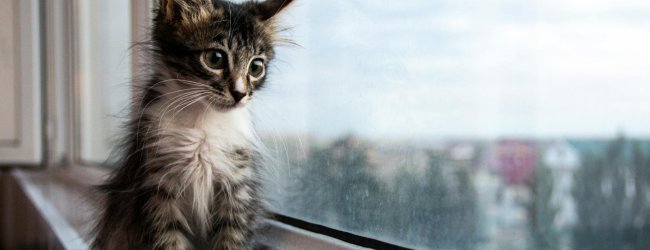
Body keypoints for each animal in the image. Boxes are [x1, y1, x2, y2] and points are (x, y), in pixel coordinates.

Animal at [90, 0, 292, 249]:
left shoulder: (237, 190)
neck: (203, 122)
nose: (240, 93)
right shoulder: (156, 188)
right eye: (215, 58)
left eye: (256, 67)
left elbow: (231, 239)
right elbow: (169, 240)